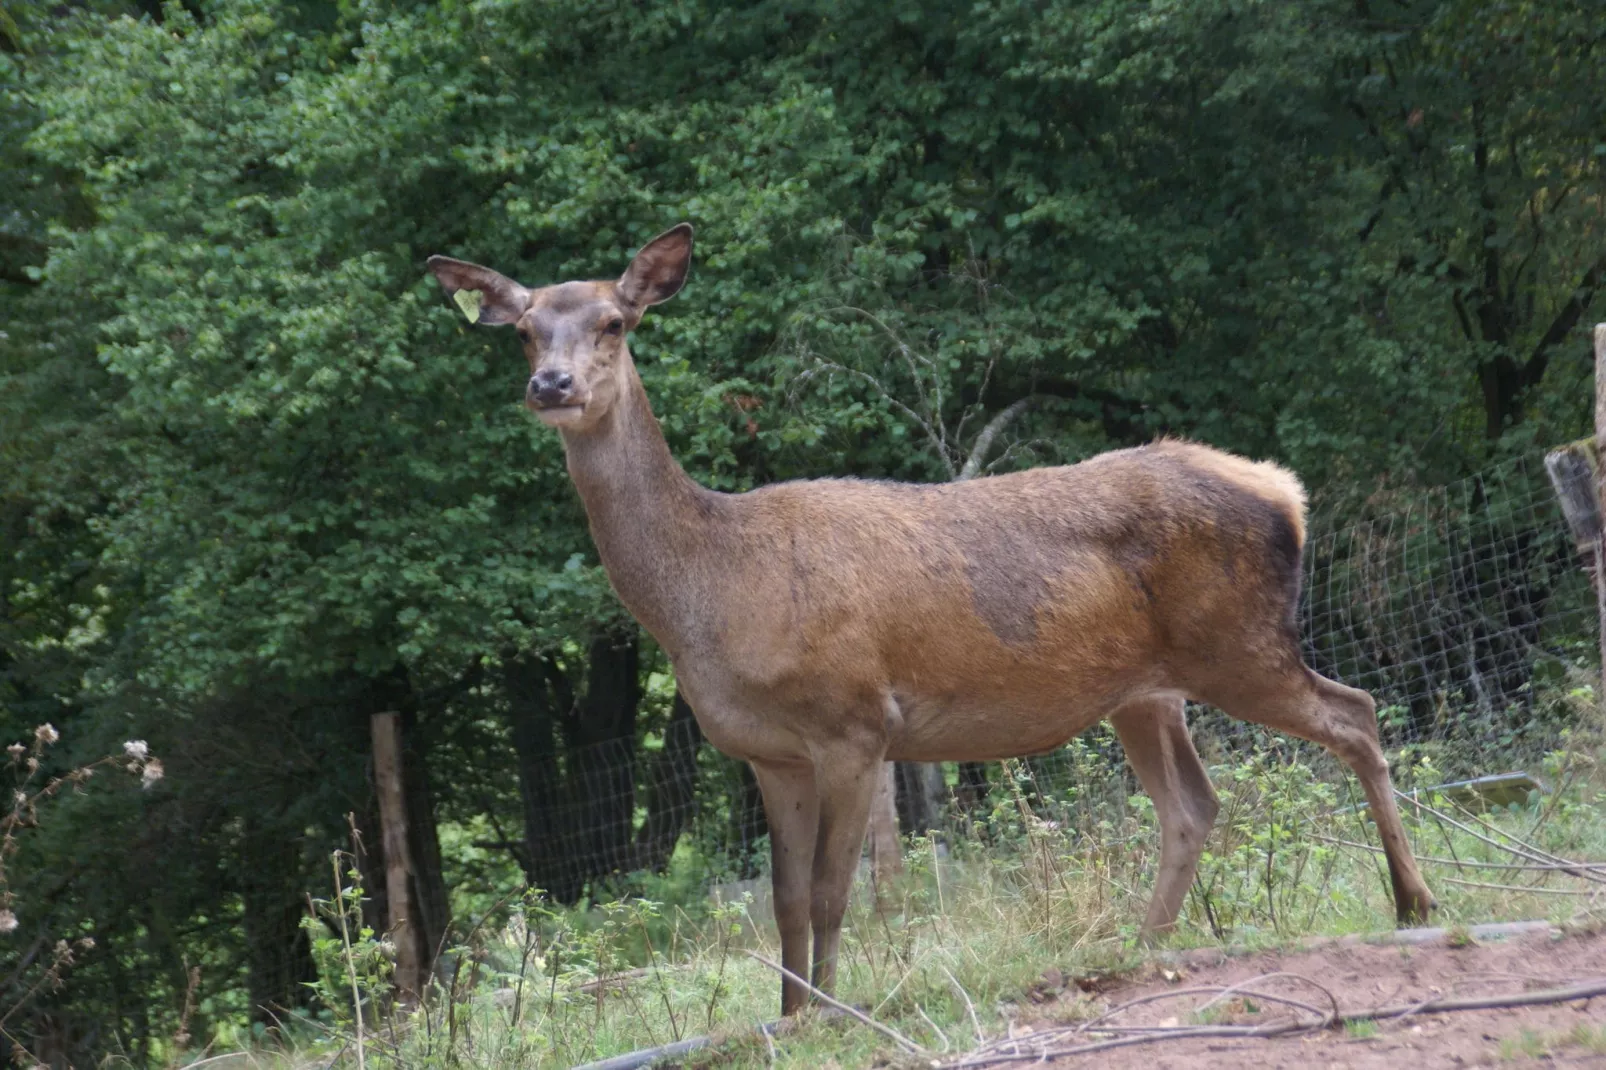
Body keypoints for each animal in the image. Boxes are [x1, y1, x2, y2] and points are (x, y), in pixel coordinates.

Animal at [423, 223, 1432, 1008]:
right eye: (524, 333)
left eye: (615, 322)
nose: (551, 385)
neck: (714, 593)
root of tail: (1285, 493)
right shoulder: (765, 752)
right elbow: (785, 902)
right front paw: (789, 1017)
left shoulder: (854, 720)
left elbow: (836, 892)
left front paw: (836, 1013)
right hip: (1145, 692)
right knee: (1194, 803)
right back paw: (1142, 946)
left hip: (1240, 642)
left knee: (1356, 713)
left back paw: (1412, 902)